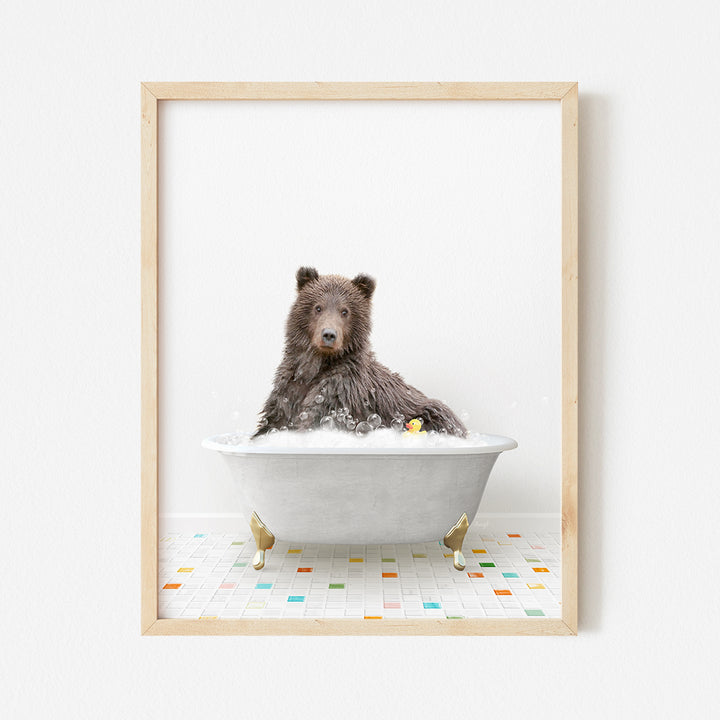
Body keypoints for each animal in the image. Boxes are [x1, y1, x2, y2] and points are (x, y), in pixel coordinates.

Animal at [253, 268, 466, 438]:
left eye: (345, 311)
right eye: (318, 307)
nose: (329, 334)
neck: (317, 365)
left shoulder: (341, 392)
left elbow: (319, 418)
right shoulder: (288, 389)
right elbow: (272, 421)